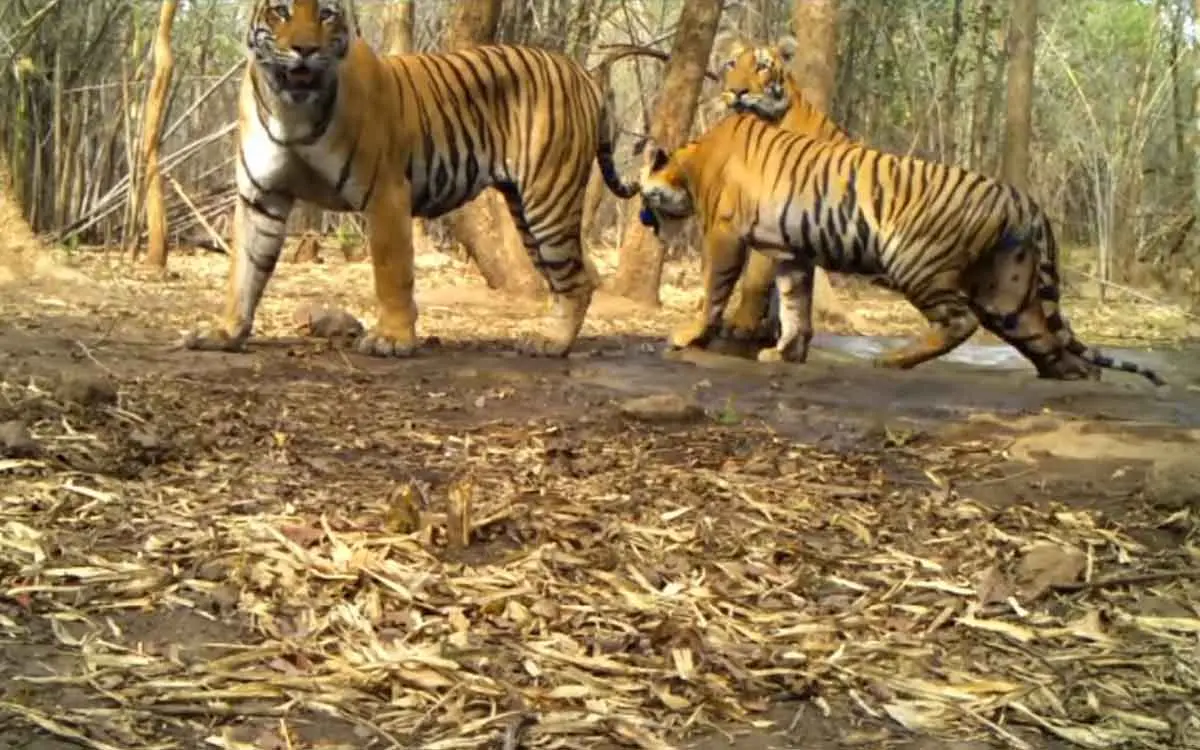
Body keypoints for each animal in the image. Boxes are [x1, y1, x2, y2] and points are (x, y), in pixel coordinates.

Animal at [183, 0, 640, 359]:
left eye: (326, 13)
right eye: (281, 11)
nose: (305, 50)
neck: (291, 109)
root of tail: (580, 71)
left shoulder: (384, 192)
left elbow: (391, 270)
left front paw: (393, 339)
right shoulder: (261, 196)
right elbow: (244, 270)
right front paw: (225, 332)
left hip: (549, 200)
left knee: (578, 281)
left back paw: (553, 344)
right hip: (526, 211)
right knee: (567, 278)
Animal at [636, 113, 1165, 386]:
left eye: (644, 193)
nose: (641, 217)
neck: (694, 160)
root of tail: (1025, 200)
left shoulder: (725, 235)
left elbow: (715, 287)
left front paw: (689, 335)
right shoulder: (792, 253)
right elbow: (795, 304)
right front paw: (785, 352)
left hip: (917, 263)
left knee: (959, 322)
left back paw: (892, 362)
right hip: (1008, 292)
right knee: (1046, 340)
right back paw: (1073, 376)